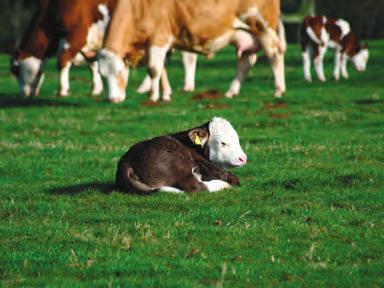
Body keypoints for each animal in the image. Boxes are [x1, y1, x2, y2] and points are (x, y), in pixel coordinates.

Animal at [98, 0, 284, 103]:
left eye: (120, 72)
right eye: (102, 75)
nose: (113, 100)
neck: (138, 8)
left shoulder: (159, 38)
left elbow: (153, 70)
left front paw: (153, 97)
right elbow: (162, 69)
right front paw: (166, 95)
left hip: (262, 27)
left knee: (274, 55)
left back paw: (279, 90)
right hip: (245, 34)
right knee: (246, 61)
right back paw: (231, 92)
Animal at [115, 116, 246, 195]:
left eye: (237, 139)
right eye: (222, 143)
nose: (243, 158)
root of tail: (126, 160)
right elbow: (234, 179)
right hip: (178, 163)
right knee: (195, 186)